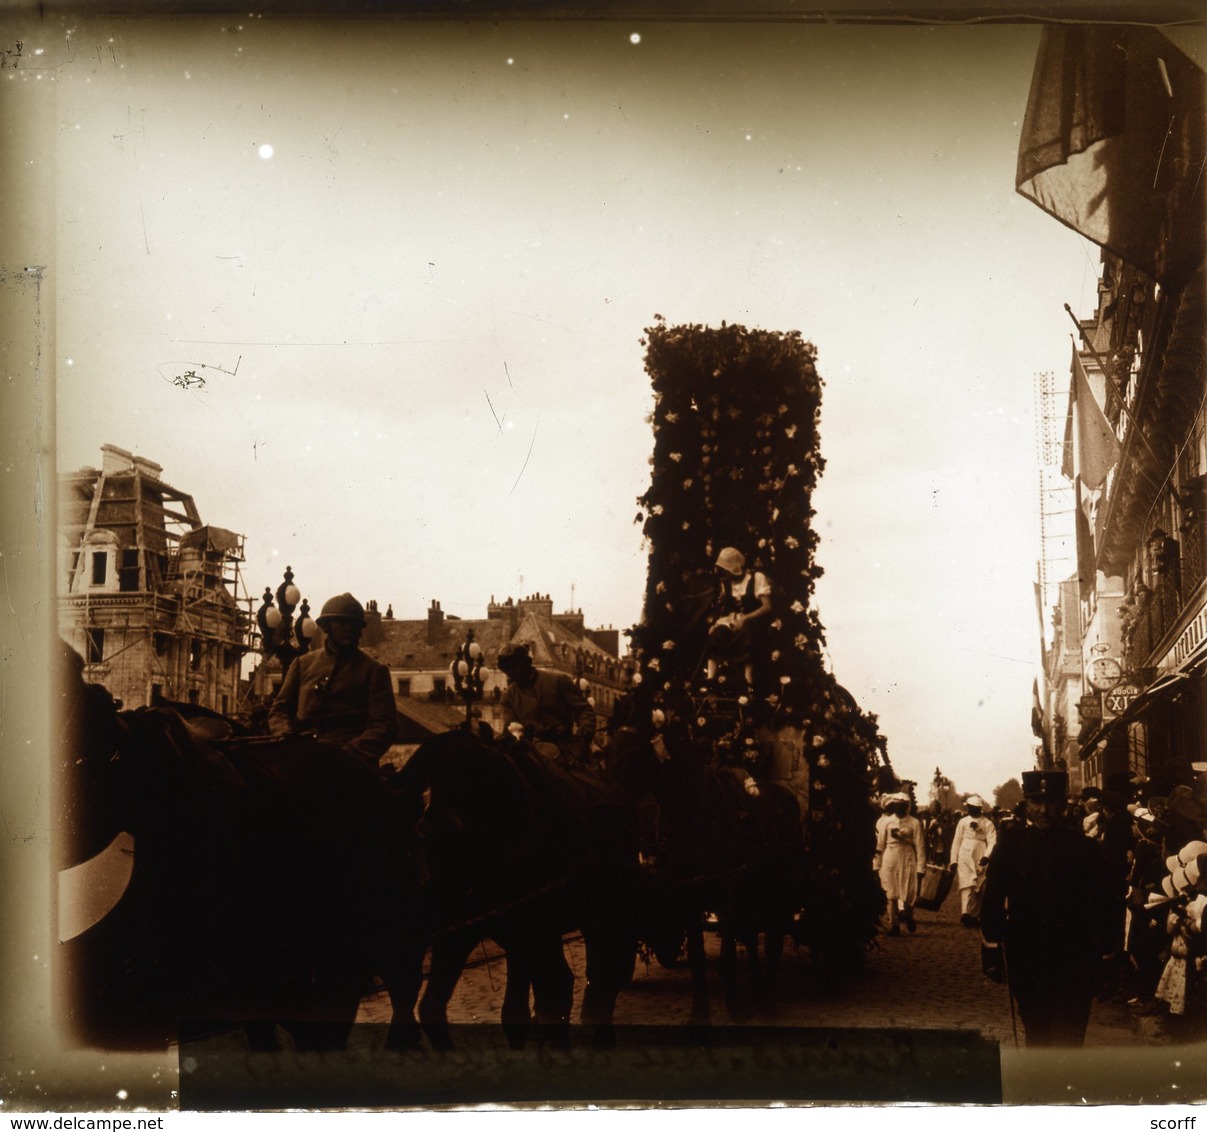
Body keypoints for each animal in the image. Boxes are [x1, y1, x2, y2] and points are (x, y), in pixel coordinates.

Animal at [393, 728, 642, 1047]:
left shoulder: (537, 929)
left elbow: (554, 994)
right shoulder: (464, 931)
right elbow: (435, 1007)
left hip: (609, 911)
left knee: (604, 971)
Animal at [608, 714, 806, 1023]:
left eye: (634, 753)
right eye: (608, 750)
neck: (695, 814)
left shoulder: (729, 889)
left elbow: (727, 959)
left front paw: (735, 1007)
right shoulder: (689, 892)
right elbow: (698, 959)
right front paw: (700, 1013)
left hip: (778, 889)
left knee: (772, 940)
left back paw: (768, 999)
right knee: (752, 937)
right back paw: (757, 989)